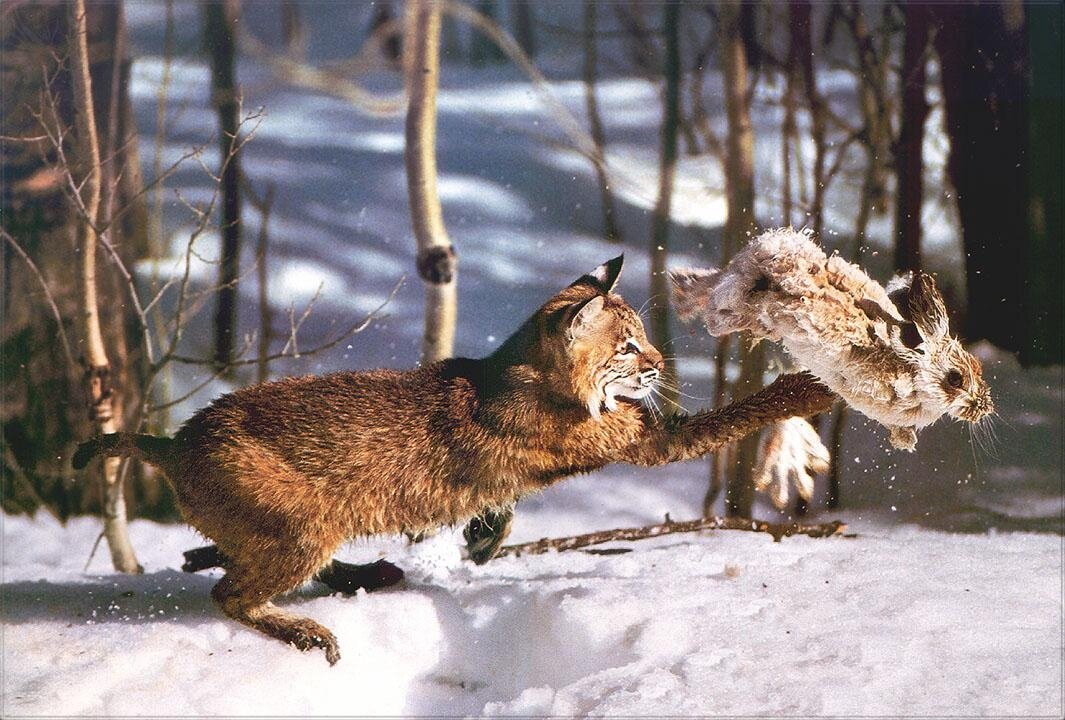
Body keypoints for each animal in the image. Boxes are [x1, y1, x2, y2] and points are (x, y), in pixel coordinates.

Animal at [668, 227, 992, 449]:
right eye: (955, 379)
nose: (985, 408)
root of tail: (767, 245)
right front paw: (906, 439)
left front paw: (904, 440)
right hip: (751, 294)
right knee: (720, 304)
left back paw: (681, 288)